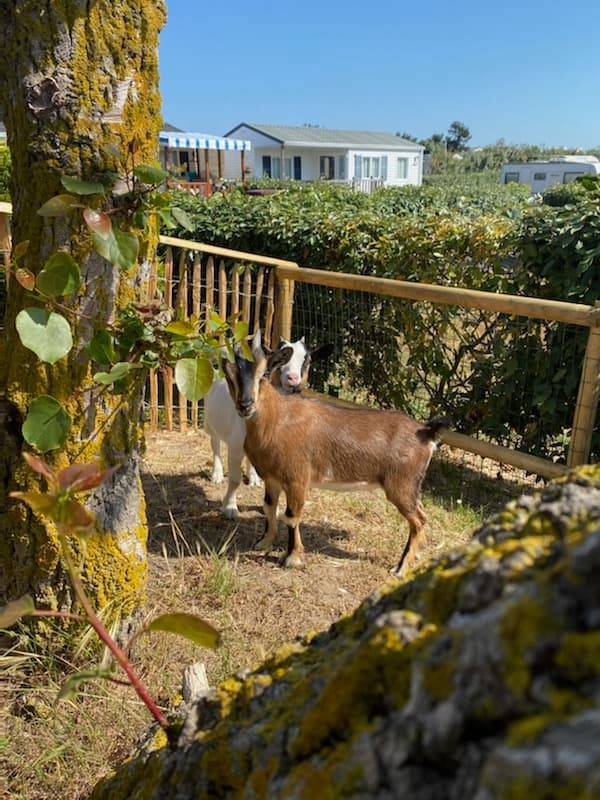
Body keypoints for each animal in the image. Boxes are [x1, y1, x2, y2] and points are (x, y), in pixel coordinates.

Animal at [225, 332, 450, 576]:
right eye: (232, 375)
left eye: (265, 373)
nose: (245, 405)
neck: (277, 419)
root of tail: (426, 433)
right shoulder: (272, 477)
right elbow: (269, 506)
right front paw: (264, 542)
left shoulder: (297, 478)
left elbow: (292, 516)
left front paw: (292, 558)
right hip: (410, 488)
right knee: (421, 515)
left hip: (401, 486)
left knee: (418, 520)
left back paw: (400, 569)